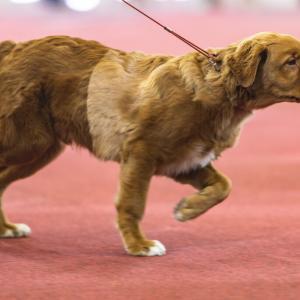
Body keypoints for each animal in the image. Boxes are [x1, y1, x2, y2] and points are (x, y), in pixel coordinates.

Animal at [0, 32, 300, 255]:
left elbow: (224, 186)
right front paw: (139, 245)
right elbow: (133, 202)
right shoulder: (141, 151)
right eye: (291, 61)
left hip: (41, 149)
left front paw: (186, 209)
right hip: (28, 142)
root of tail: (13, 48)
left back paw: (6, 228)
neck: (219, 92)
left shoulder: (185, 161)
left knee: (2, 180)